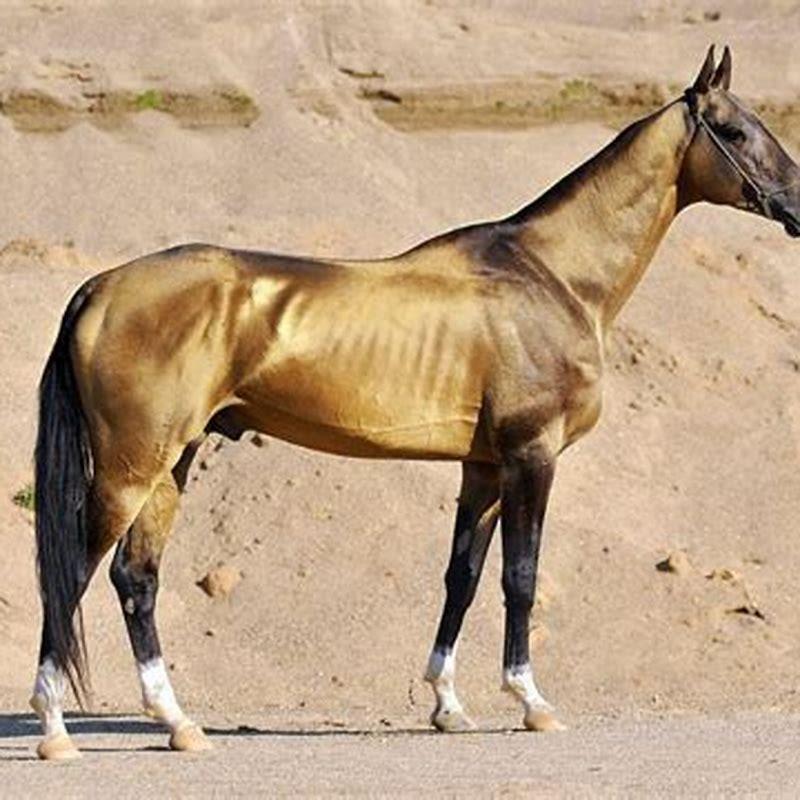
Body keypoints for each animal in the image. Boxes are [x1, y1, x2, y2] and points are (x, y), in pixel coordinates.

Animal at [30, 45, 800, 760]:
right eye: (735, 129)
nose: (795, 205)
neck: (551, 275)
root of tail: (99, 288)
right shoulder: (532, 455)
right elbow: (520, 577)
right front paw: (531, 701)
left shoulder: (484, 468)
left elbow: (462, 577)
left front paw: (447, 706)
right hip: (131, 468)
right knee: (73, 572)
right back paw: (56, 730)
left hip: (172, 463)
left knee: (136, 577)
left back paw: (178, 724)